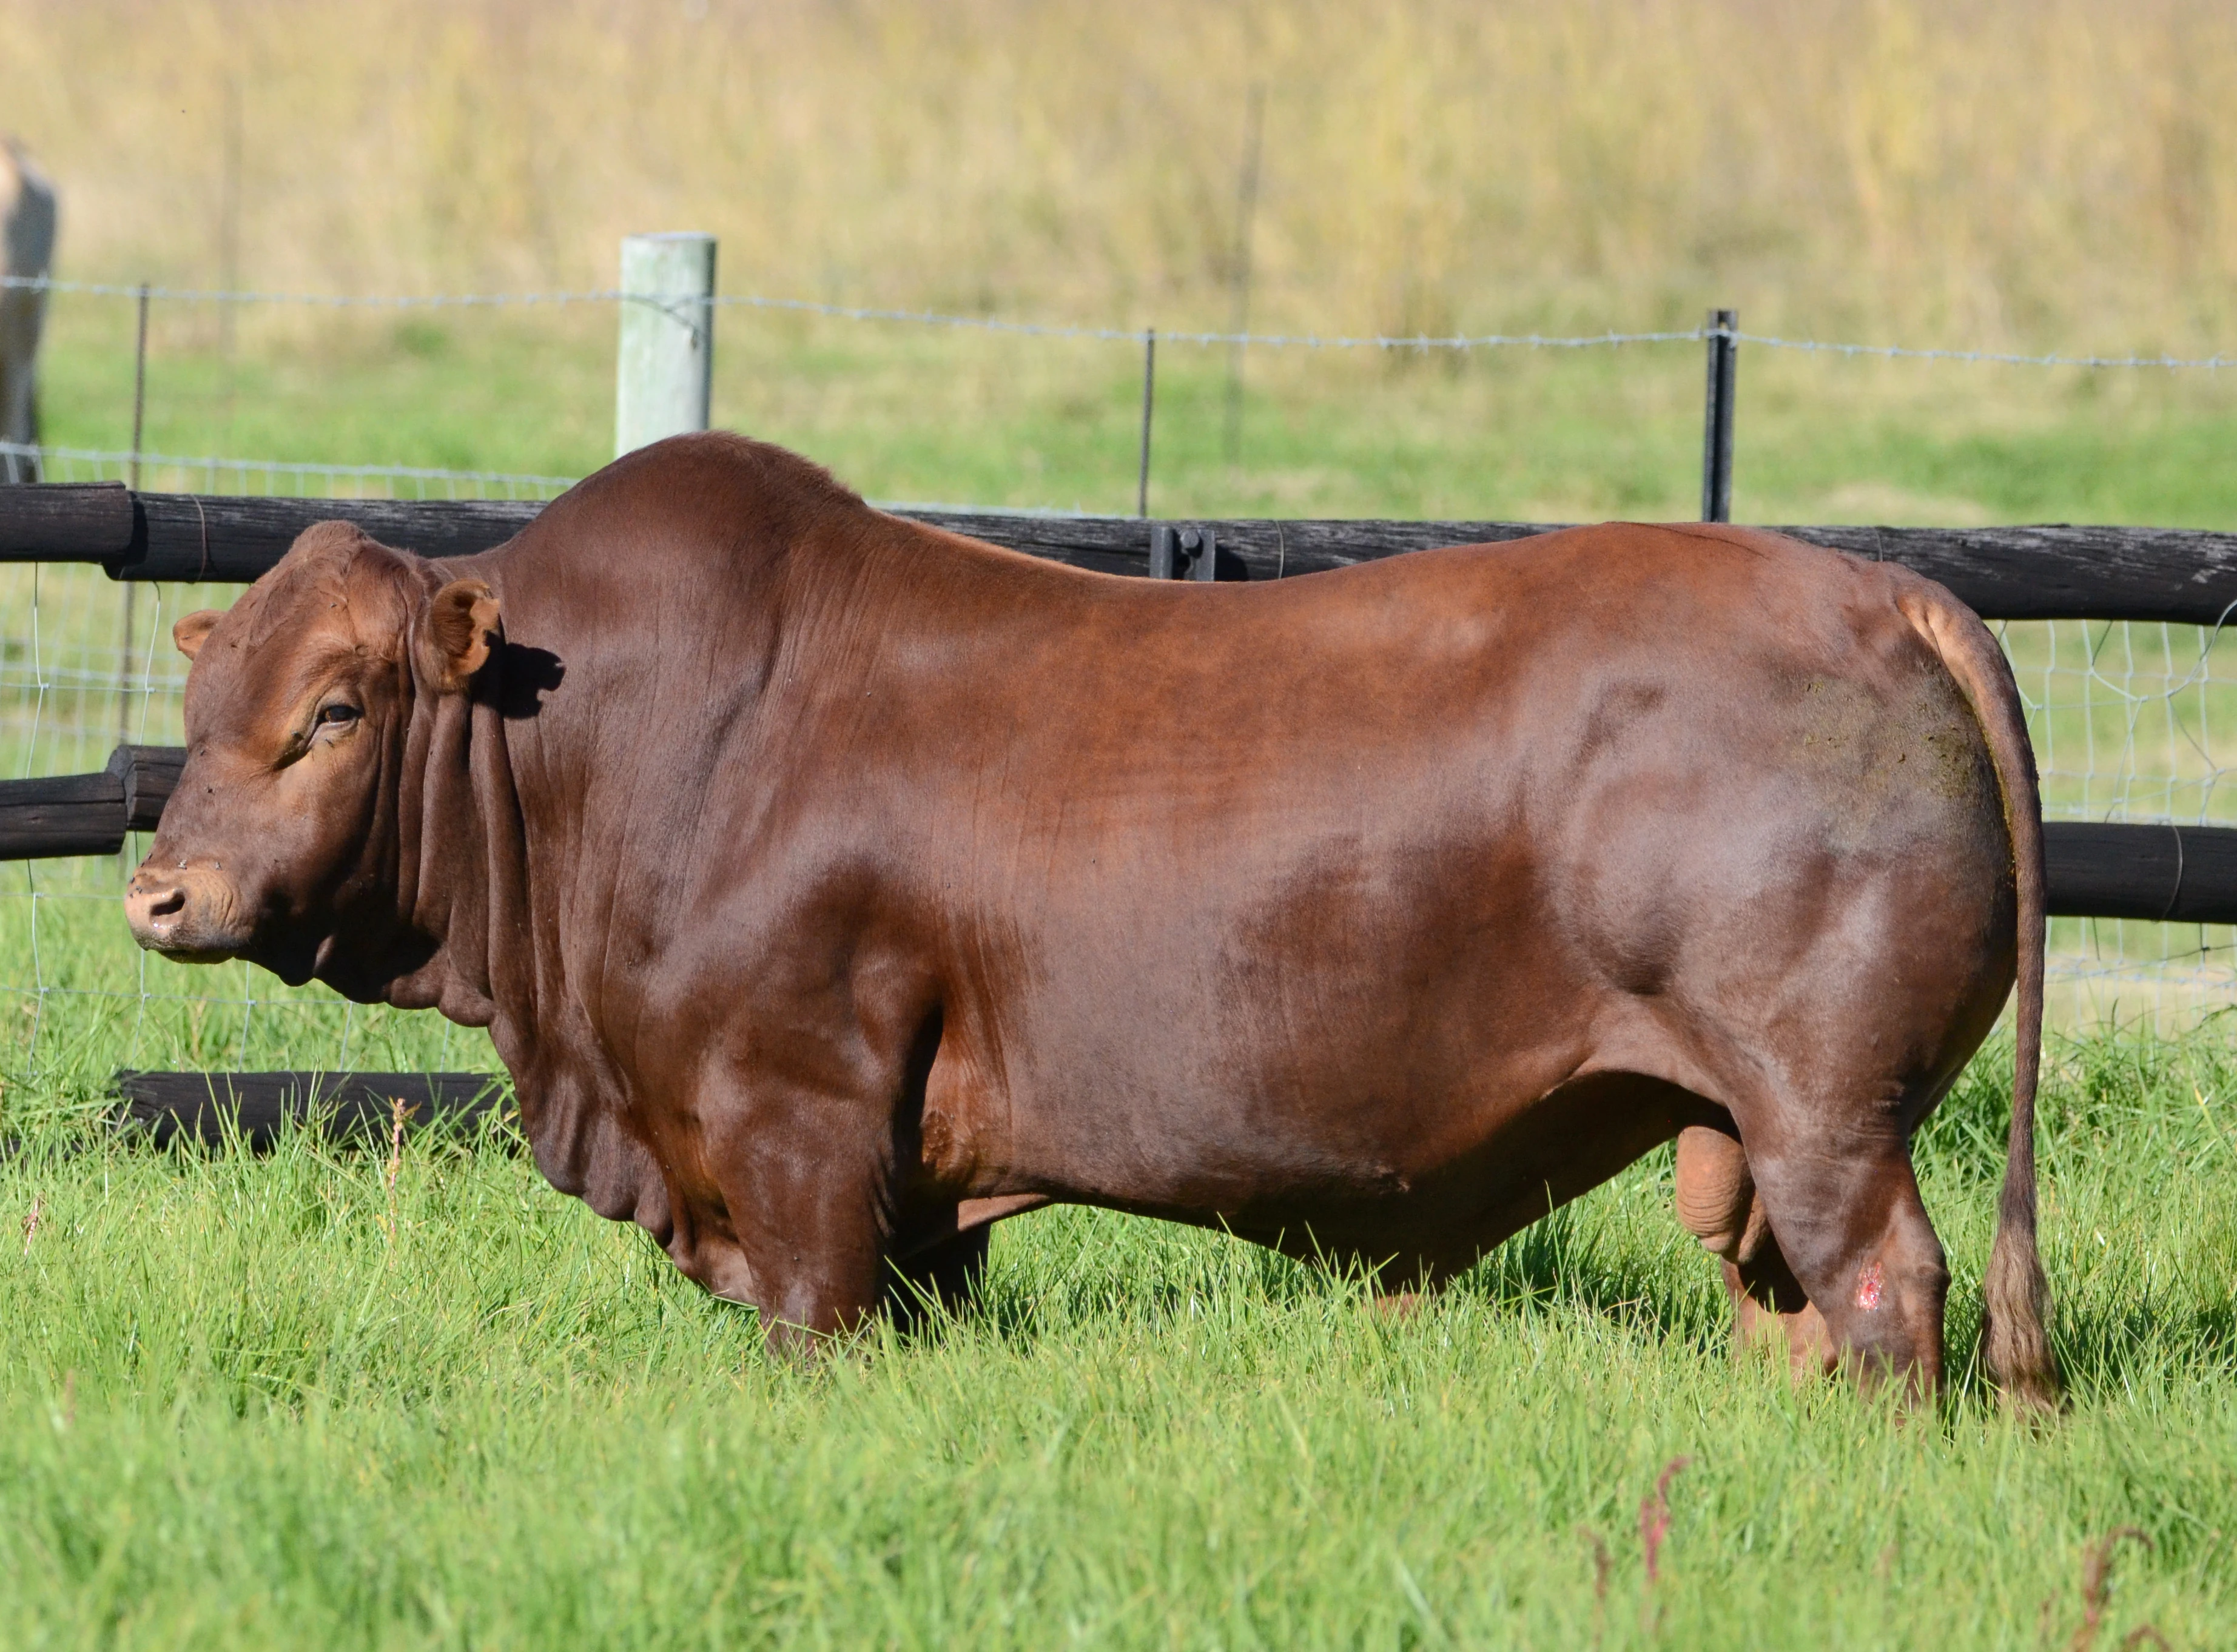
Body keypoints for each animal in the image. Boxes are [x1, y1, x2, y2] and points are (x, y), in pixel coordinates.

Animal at [124, 432, 2057, 1408]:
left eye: (333, 712)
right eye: (211, 690)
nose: (163, 888)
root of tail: (1879, 590)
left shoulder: (800, 1127)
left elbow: (814, 1324)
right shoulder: (917, 1188)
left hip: (1824, 1109)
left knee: (1884, 1284)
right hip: (1748, 1124)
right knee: (1784, 1292)